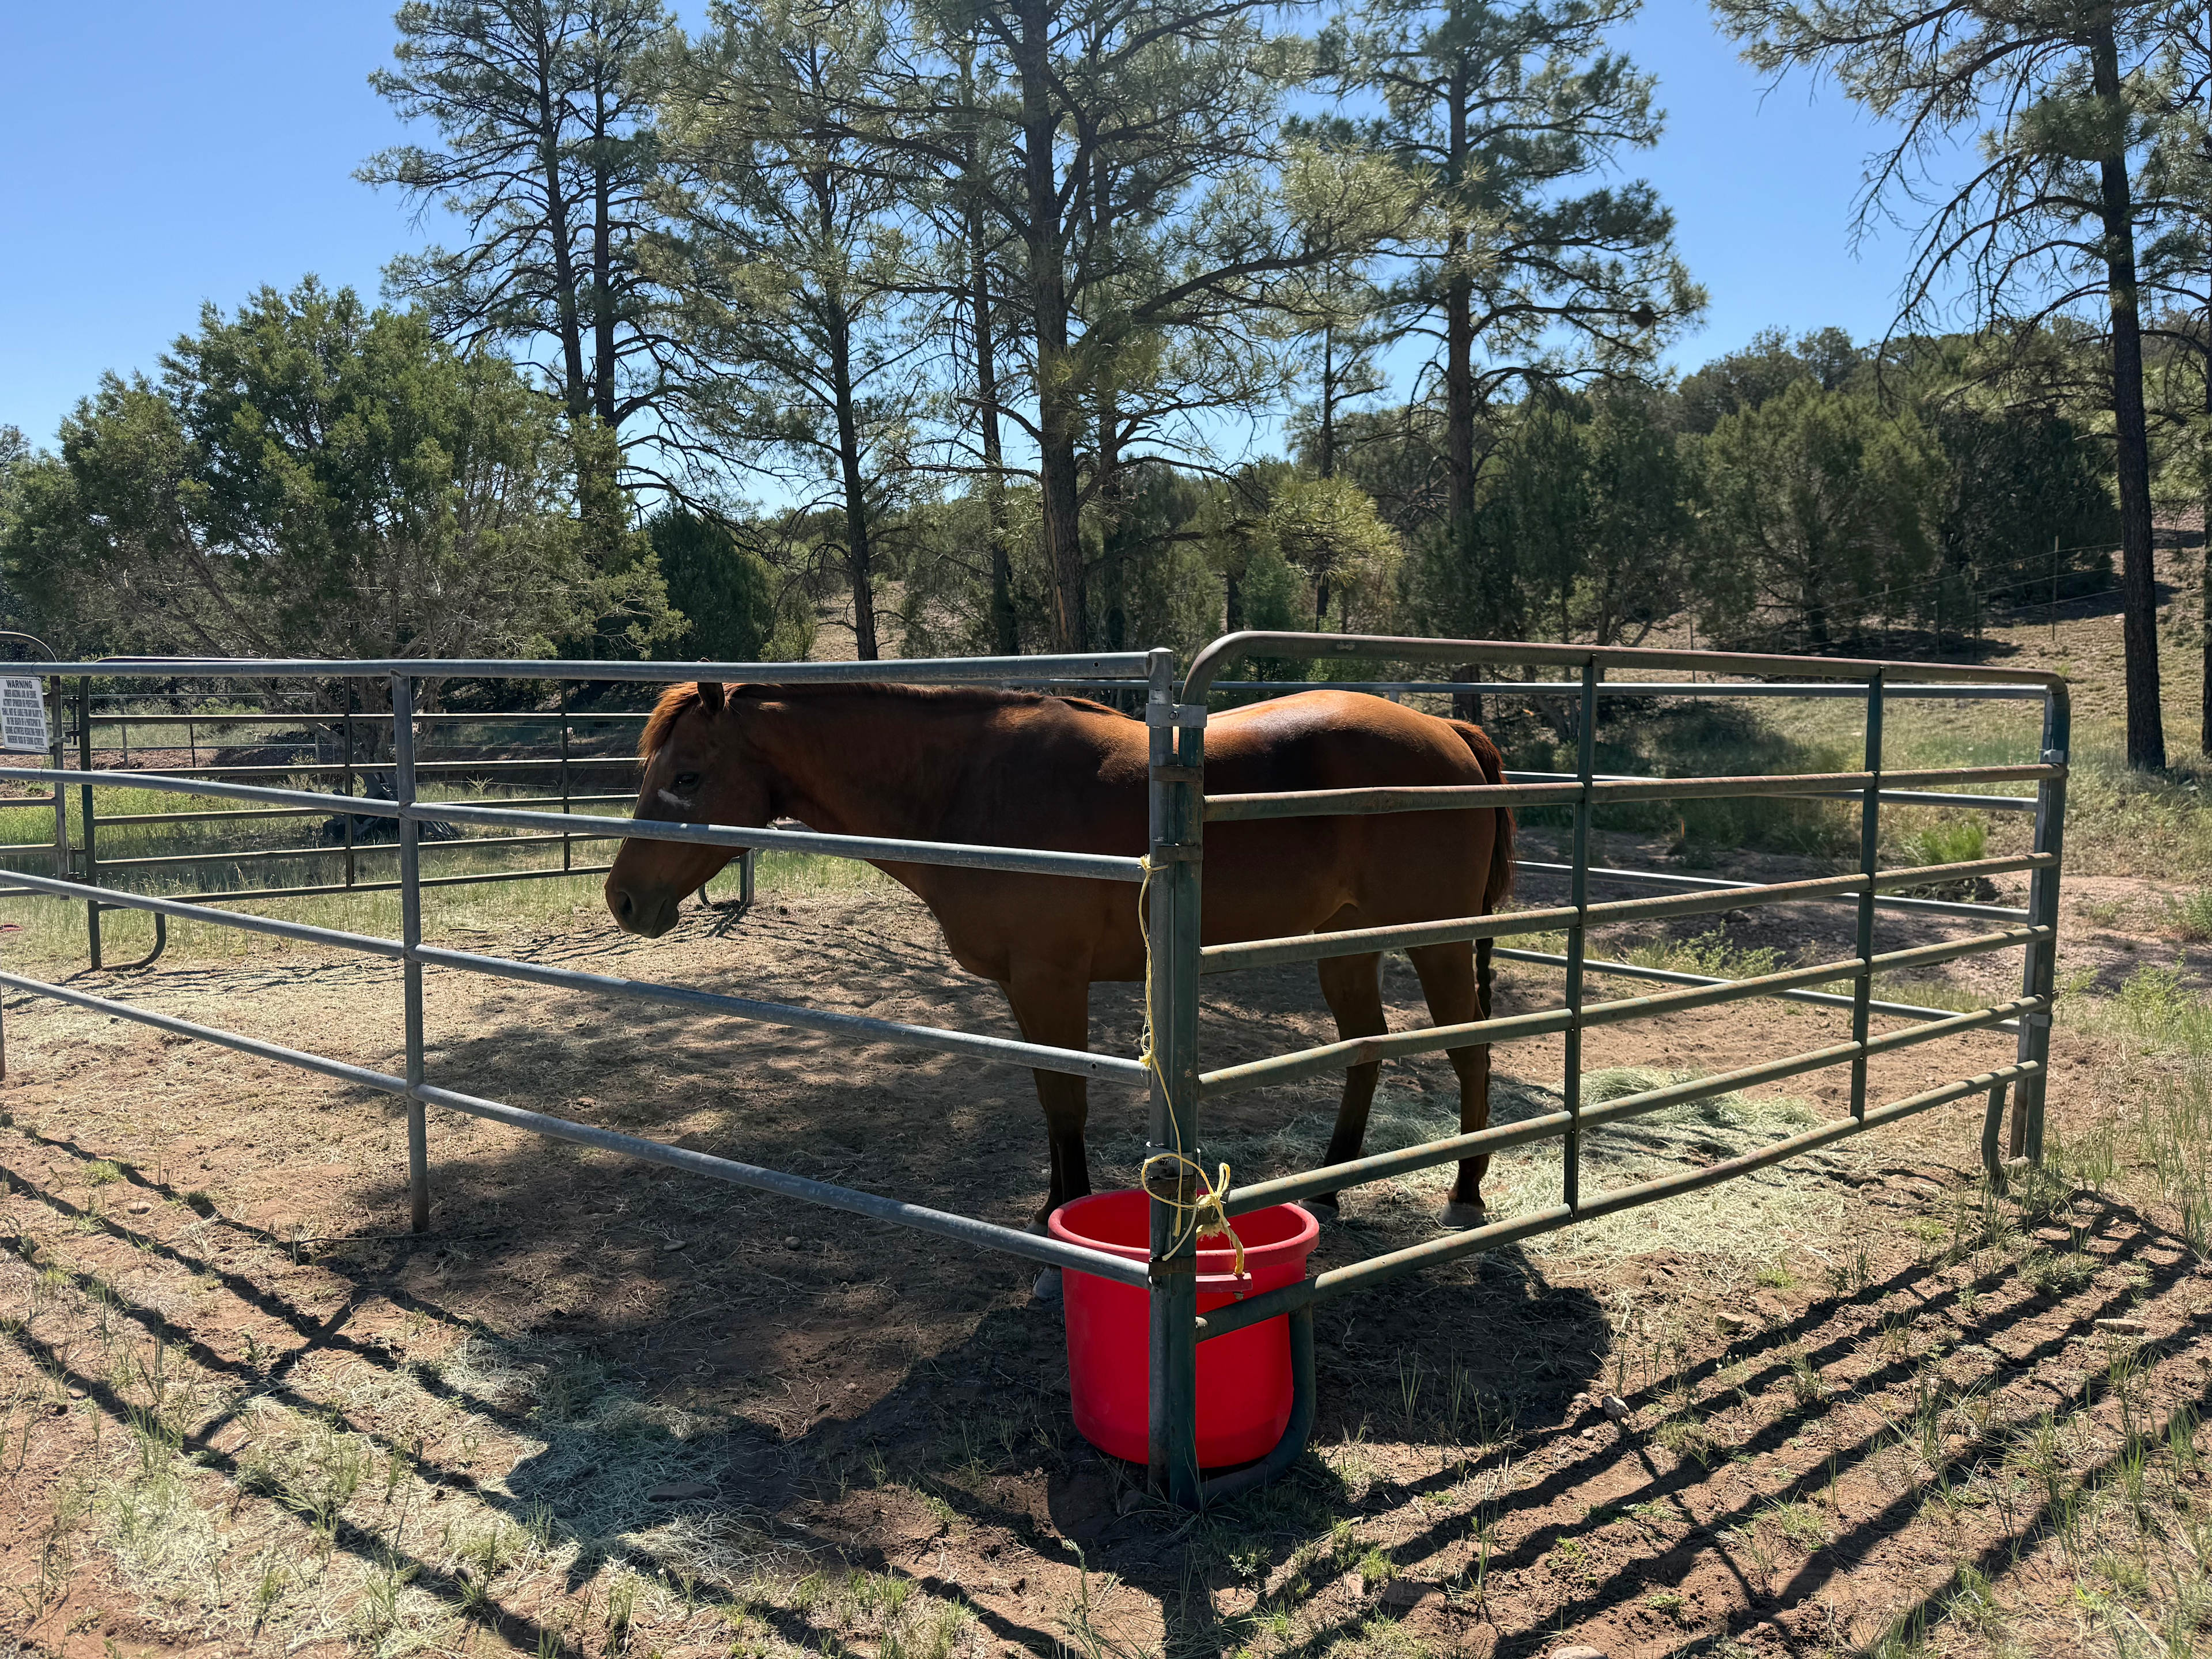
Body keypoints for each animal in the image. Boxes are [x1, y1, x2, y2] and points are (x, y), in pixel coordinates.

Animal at [604, 681, 1514, 1294]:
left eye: (688, 777)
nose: (623, 900)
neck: (969, 785)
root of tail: (1448, 731)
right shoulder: (1025, 989)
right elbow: (1049, 1104)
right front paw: (1049, 1218)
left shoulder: (1050, 982)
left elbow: (1067, 1106)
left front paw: (1057, 1250)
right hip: (1345, 945)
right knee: (1366, 1048)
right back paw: (1328, 1186)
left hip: (1435, 944)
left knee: (1469, 1053)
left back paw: (1465, 1194)